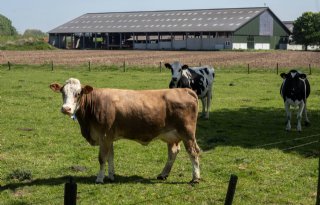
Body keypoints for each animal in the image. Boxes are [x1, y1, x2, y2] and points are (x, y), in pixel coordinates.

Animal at [50, 78, 200, 183]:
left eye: (78, 93)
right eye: (63, 92)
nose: (66, 109)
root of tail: (185, 90)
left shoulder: (104, 136)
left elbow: (102, 158)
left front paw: (99, 178)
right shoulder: (108, 137)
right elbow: (110, 157)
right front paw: (110, 176)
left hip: (187, 133)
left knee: (193, 152)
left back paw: (195, 178)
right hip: (171, 135)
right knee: (173, 153)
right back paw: (163, 174)